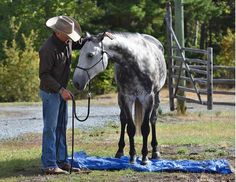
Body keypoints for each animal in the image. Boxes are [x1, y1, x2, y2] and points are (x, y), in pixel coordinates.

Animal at [73, 31, 167, 165]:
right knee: (123, 120)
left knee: (153, 120)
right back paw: (120, 151)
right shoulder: (127, 97)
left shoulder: (148, 98)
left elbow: (145, 128)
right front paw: (132, 157)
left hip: (156, 97)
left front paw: (144, 157)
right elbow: (131, 128)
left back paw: (155, 151)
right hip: (120, 98)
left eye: (90, 55)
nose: (76, 82)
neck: (137, 63)